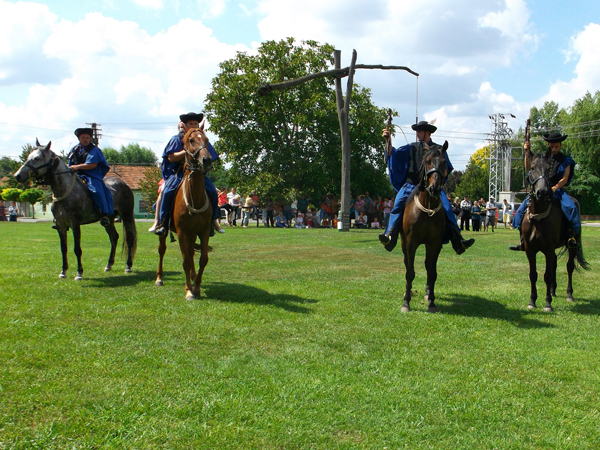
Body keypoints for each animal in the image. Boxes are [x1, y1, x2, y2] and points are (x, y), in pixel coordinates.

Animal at [14, 142, 138, 282]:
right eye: (29, 156)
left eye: (37, 158)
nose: (17, 176)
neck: (65, 191)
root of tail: (124, 185)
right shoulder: (60, 226)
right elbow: (64, 248)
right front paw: (63, 271)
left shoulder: (75, 224)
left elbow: (77, 249)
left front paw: (79, 273)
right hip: (109, 220)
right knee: (113, 237)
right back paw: (108, 265)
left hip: (126, 216)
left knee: (129, 238)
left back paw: (128, 266)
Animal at [156, 125, 214, 298]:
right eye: (191, 140)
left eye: (207, 139)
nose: (206, 160)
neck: (195, 197)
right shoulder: (182, 231)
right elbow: (186, 261)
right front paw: (189, 290)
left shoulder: (203, 231)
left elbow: (203, 259)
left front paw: (197, 287)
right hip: (165, 232)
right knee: (162, 250)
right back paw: (159, 278)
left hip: (192, 234)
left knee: (191, 251)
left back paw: (194, 277)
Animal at [400, 141, 448, 312]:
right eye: (427, 162)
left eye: (444, 162)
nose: (434, 188)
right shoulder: (410, 243)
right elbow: (409, 272)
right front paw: (406, 303)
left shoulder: (435, 244)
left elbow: (432, 273)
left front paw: (431, 303)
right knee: (407, 263)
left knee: (428, 266)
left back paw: (427, 294)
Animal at [524, 149, 588, 312]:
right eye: (532, 167)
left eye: (548, 169)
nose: (542, 192)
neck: (538, 218)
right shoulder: (530, 250)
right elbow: (533, 274)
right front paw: (532, 301)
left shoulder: (548, 249)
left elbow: (547, 275)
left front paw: (548, 303)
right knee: (554, 266)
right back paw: (553, 291)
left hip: (572, 246)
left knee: (569, 267)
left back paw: (569, 294)